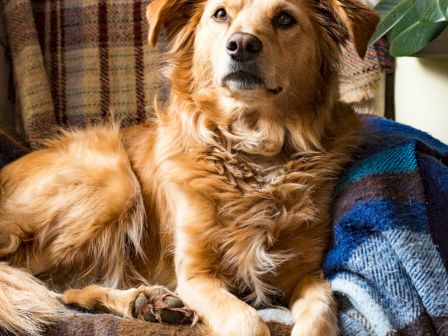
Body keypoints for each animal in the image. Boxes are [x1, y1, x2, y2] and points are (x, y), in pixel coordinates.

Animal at [0, 0, 378, 334]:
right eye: (221, 14)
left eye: (285, 18)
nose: (241, 44)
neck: (252, 150)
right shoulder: (195, 275)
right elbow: (247, 322)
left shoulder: (305, 273)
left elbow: (322, 311)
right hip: (113, 184)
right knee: (33, 282)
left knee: (66, 290)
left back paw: (146, 303)